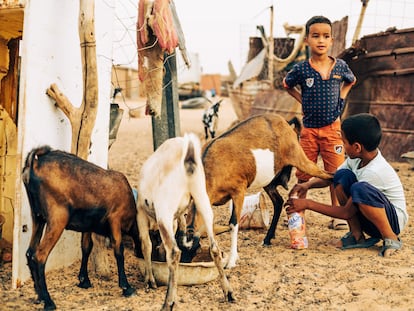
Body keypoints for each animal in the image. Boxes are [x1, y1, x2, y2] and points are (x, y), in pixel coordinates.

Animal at [22, 147, 141, 311]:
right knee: (39, 255)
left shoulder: (88, 226)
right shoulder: (115, 219)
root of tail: (34, 164)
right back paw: (48, 301)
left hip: (37, 217)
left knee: (29, 252)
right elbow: (118, 250)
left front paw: (84, 280)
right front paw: (126, 287)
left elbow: (86, 247)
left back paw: (39, 296)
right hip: (57, 218)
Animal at [137, 133, 234, 311]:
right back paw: (228, 292)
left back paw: (168, 302)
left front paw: (149, 280)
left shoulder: (140, 211)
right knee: (214, 248)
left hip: (164, 209)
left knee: (174, 252)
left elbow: (146, 245)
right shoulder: (175, 218)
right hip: (202, 198)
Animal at [192, 114, 334, 268]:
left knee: (329, 175)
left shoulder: (239, 192)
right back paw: (268, 238)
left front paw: (231, 260)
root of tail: (285, 122)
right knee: (279, 202)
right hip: (269, 182)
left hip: (301, 161)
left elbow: (233, 223)